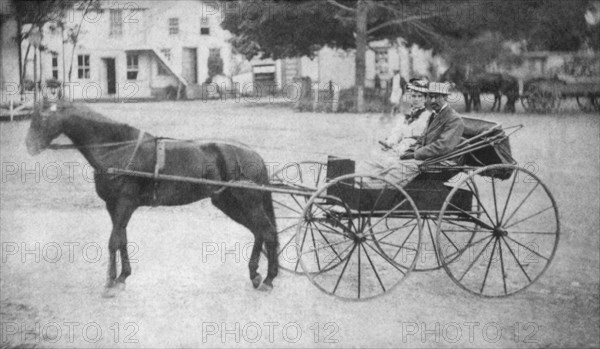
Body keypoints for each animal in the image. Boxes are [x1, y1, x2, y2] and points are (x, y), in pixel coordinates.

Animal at [25, 101, 278, 296]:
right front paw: (122, 278)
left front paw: (109, 284)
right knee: (258, 232)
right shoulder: (113, 206)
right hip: (229, 203)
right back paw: (256, 275)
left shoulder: (125, 203)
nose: (29, 146)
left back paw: (268, 279)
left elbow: (113, 241)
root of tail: (254, 155)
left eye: (42, 117)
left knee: (267, 231)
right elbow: (122, 238)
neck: (119, 149)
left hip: (246, 203)